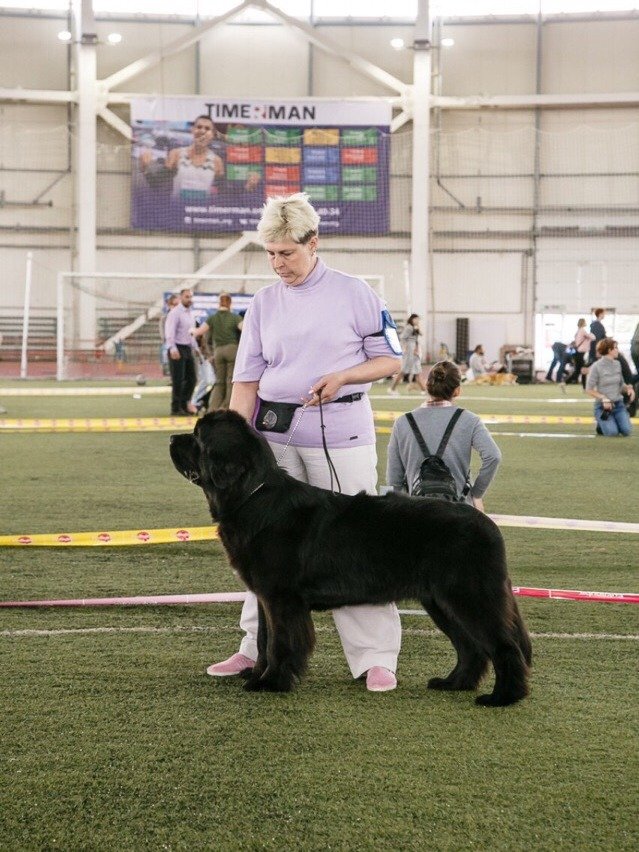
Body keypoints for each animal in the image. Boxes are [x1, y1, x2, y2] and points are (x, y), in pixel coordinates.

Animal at [169, 408, 528, 704]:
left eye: (198, 436)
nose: (172, 437)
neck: (251, 495)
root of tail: (488, 524)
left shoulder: (282, 597)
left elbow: (280, 643)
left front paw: (270, 683)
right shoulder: (265, 597)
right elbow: (262, 641)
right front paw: (258, 675)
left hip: (468, 595)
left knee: (503, 645)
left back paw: (504, 697)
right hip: (440, 601)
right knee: (471, 647)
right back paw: (454, 684)